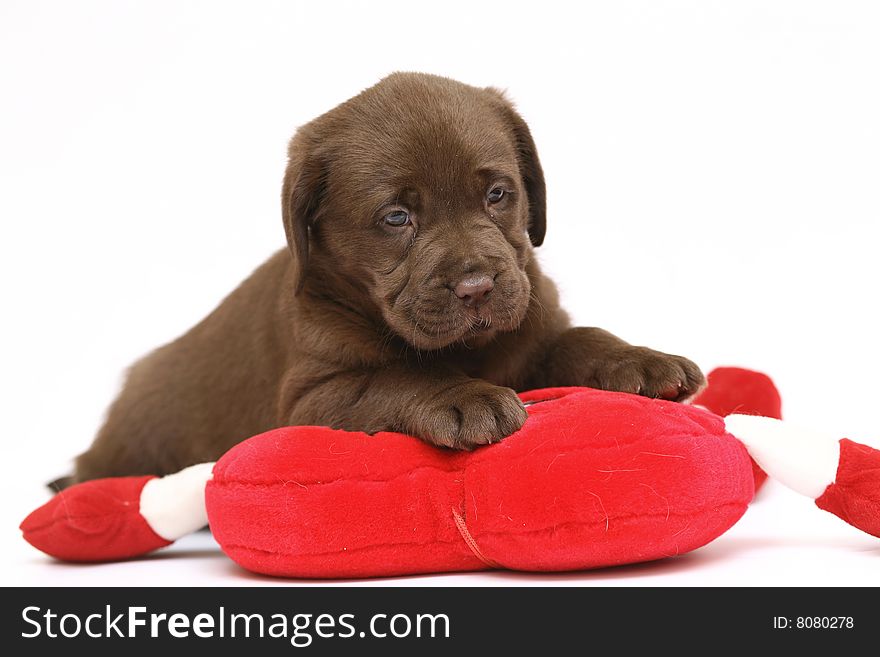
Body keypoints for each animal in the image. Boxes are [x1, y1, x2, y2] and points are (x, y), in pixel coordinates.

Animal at [69, 73, 704, 482]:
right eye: (397, 218)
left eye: (498, 194)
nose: (477, 288)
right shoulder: (314, 398)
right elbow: (398, 376)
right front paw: (464, 395)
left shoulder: (534, 328)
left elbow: (579, 338)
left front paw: (642, 359)